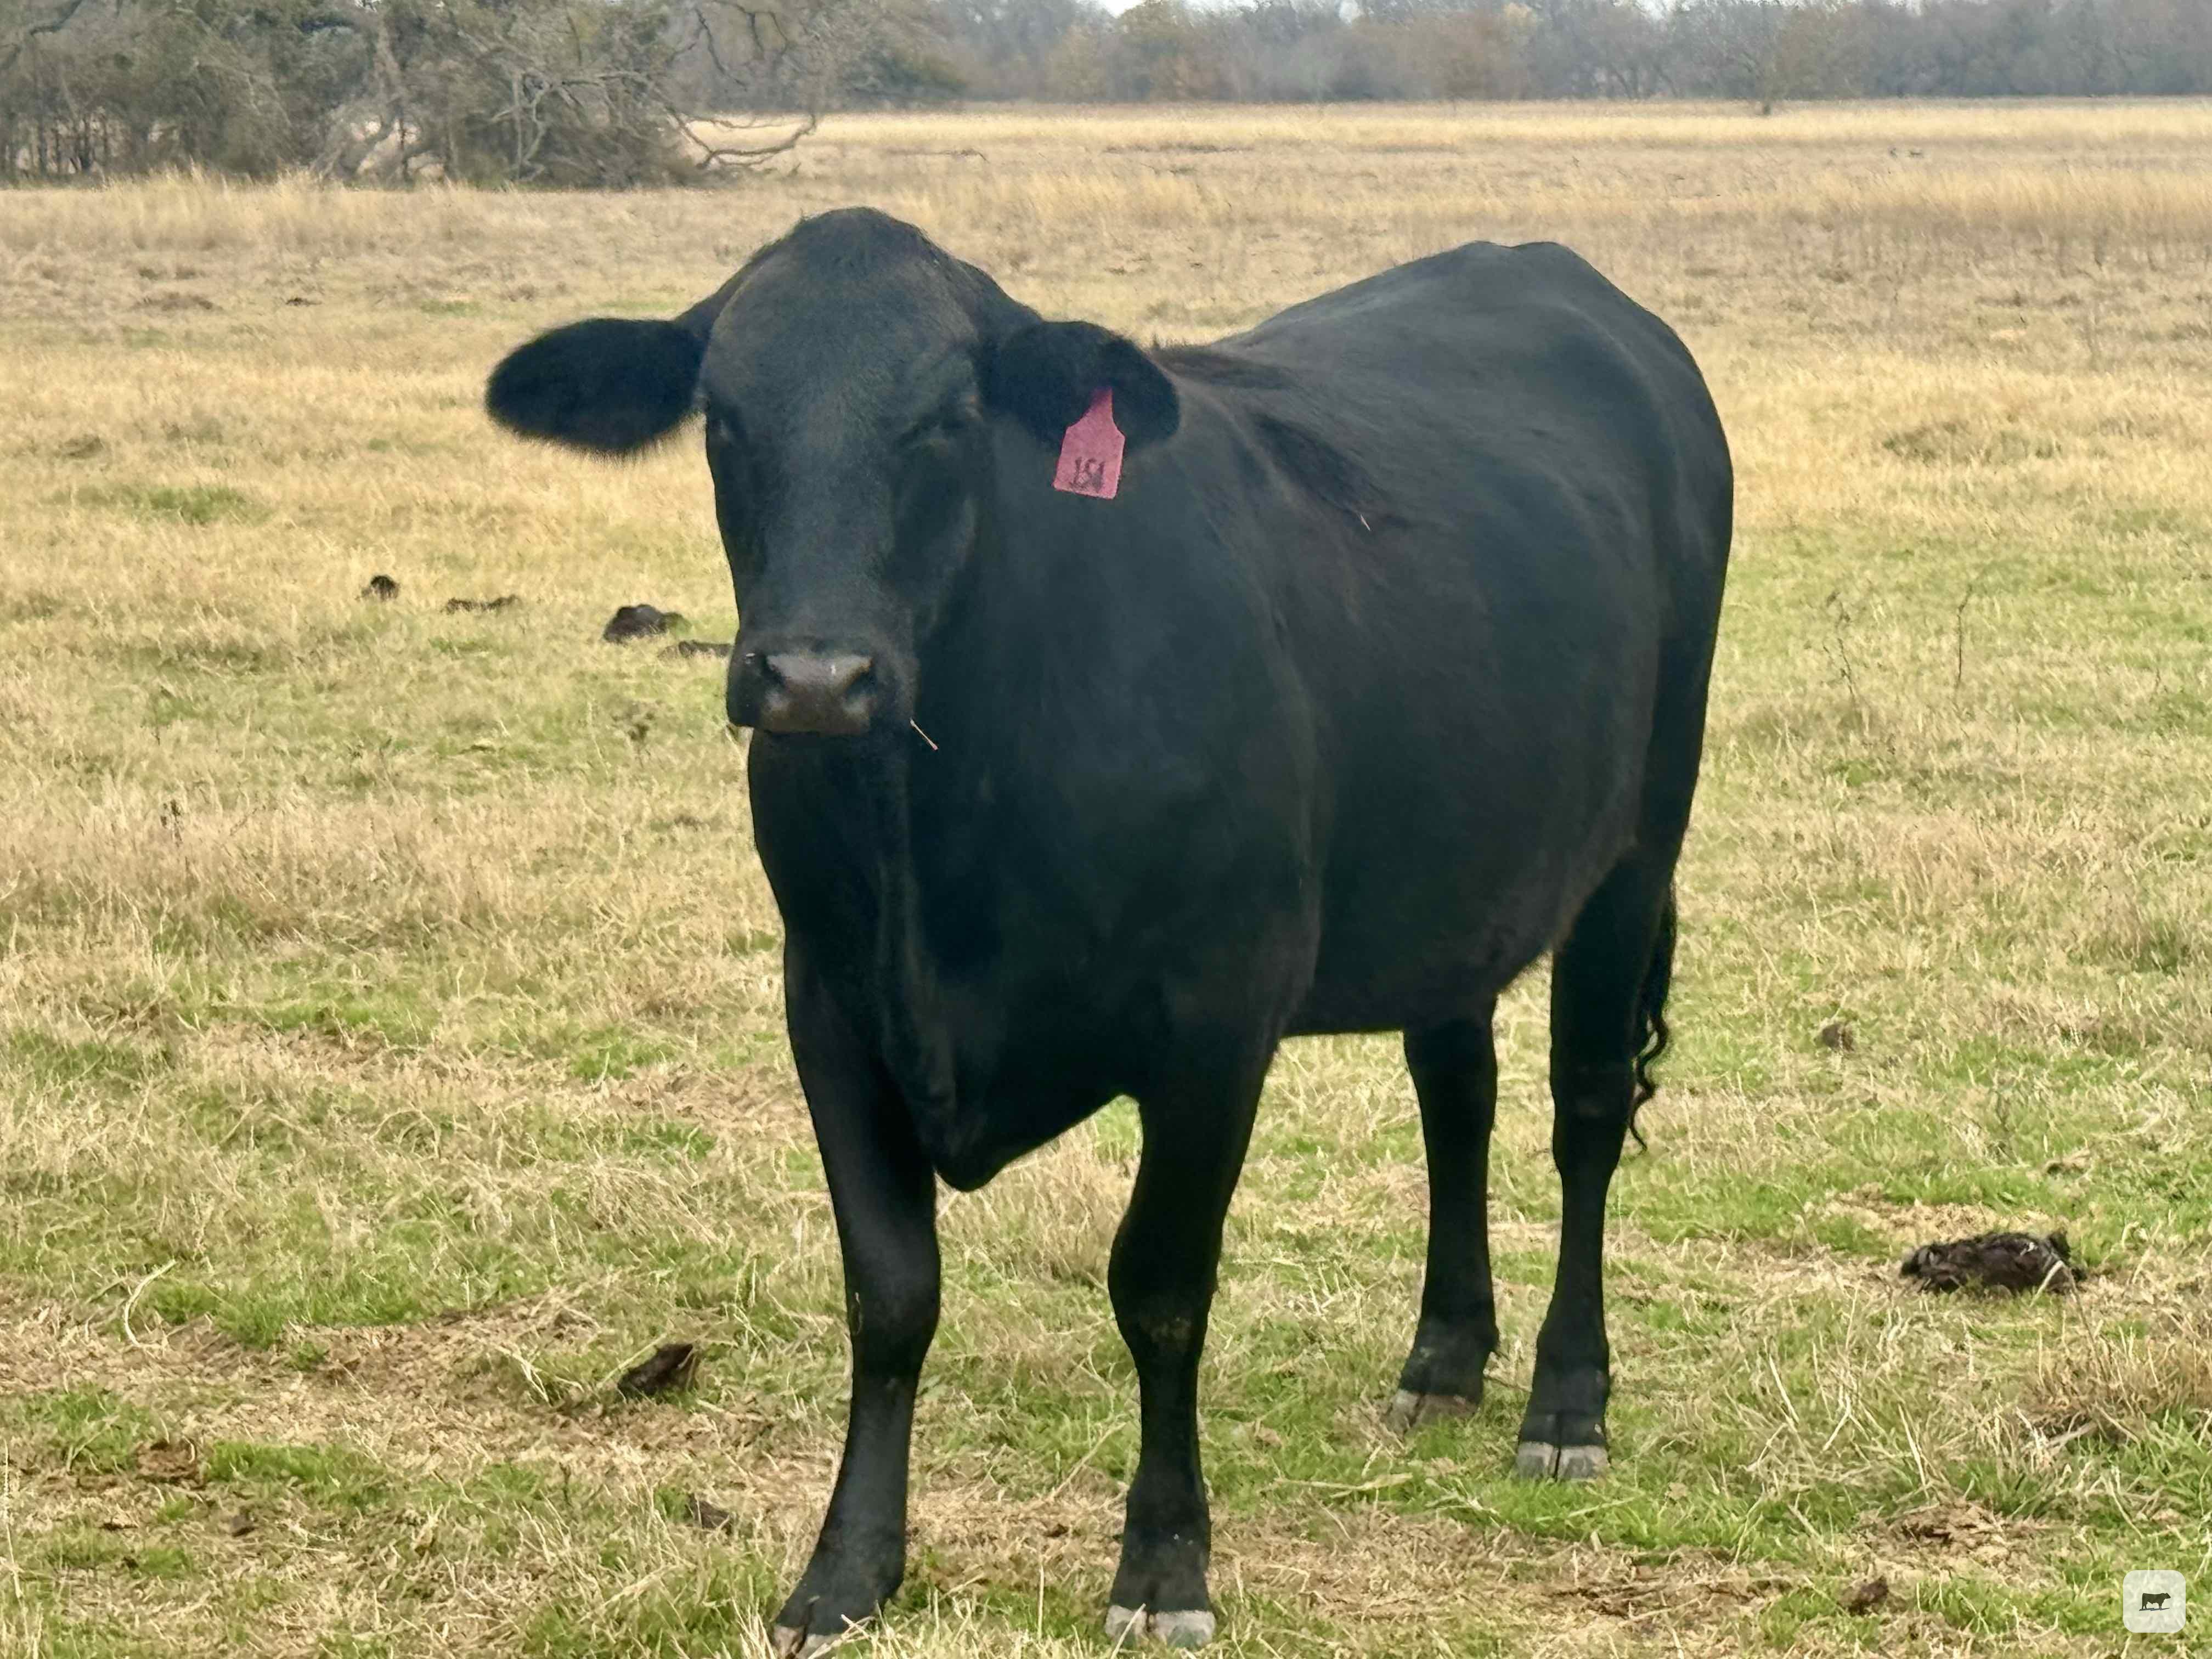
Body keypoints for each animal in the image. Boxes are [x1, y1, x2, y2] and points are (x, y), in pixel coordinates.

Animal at [485, 207, 1732, 1652]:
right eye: (725, 418)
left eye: (948, 416)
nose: (813, 680)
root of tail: (1566, 278)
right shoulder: (831, 1007)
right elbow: (889, 1292)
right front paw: (847, 1572)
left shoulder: (1215, 1023)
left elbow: (1161, 1289)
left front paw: (1164, 1565)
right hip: (1457, 875)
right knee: (1455, 1094)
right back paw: (1443, 1355)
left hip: (1638, 847)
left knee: (1585, 1114)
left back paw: (1566, 1400)